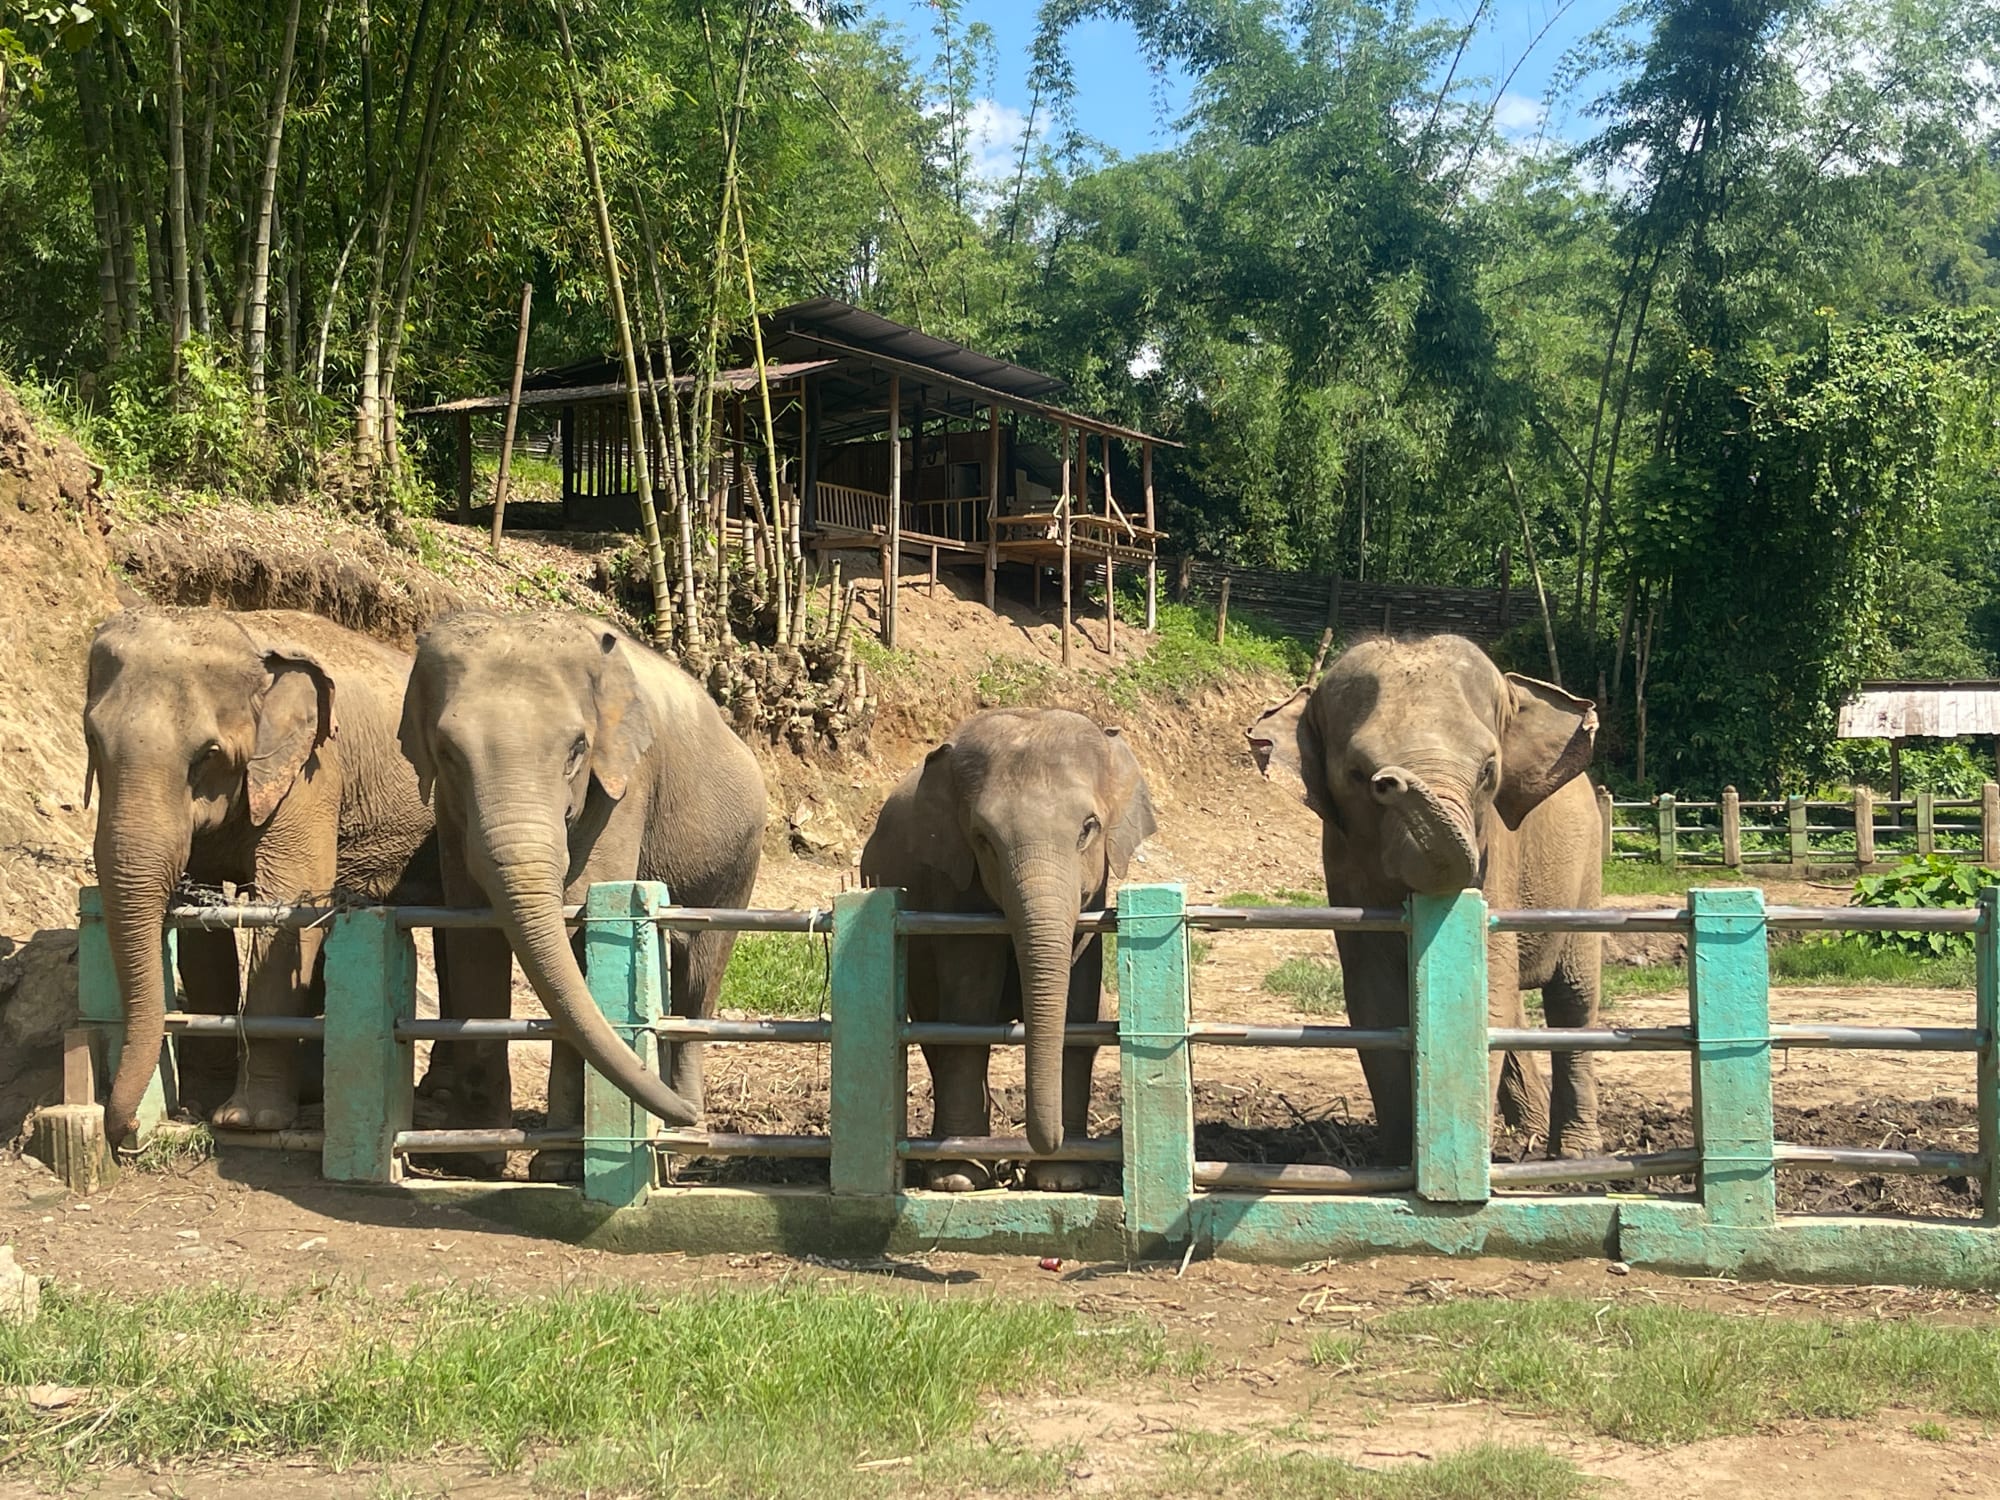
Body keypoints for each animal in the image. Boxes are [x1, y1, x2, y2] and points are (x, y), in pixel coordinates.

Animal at [83, 607, 437, 1145]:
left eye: (208, 754)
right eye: (92, 740)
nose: (128, 1133)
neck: (249, 635)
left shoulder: (313, 770)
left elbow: (289, 905)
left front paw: (246, 1121)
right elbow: (201, 928)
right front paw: (201, 1102)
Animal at [396, 610, 765, 1175]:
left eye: (577, 749)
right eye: (447, 752)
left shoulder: (625, 785)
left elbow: (582, 926)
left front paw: (556, 1167)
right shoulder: (449, 813)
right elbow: (472, 937)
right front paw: (475, 1159)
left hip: (739, 859)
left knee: (701, 974)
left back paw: (685, 1135)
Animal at [859, 708, 1157, 1191]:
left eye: (1088, 828)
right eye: (983, 838)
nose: (1018, 1165)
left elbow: (1080, 998)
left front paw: (1064, 1180)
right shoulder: (952, 883)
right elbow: (969, 1001)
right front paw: (960, 1180)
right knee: (933, 1030)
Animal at [1248, 634, 1603, 1161]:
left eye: (1489, 770)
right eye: (1358, 775)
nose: (1391, 780)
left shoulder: (1495, 855)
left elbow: (1485, 988)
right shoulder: (1343, 864)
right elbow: (1376, 1001)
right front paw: (1400, 1162)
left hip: (1586, 868)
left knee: (1573, 999)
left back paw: (1574, 1154)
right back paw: (1529, 1133)